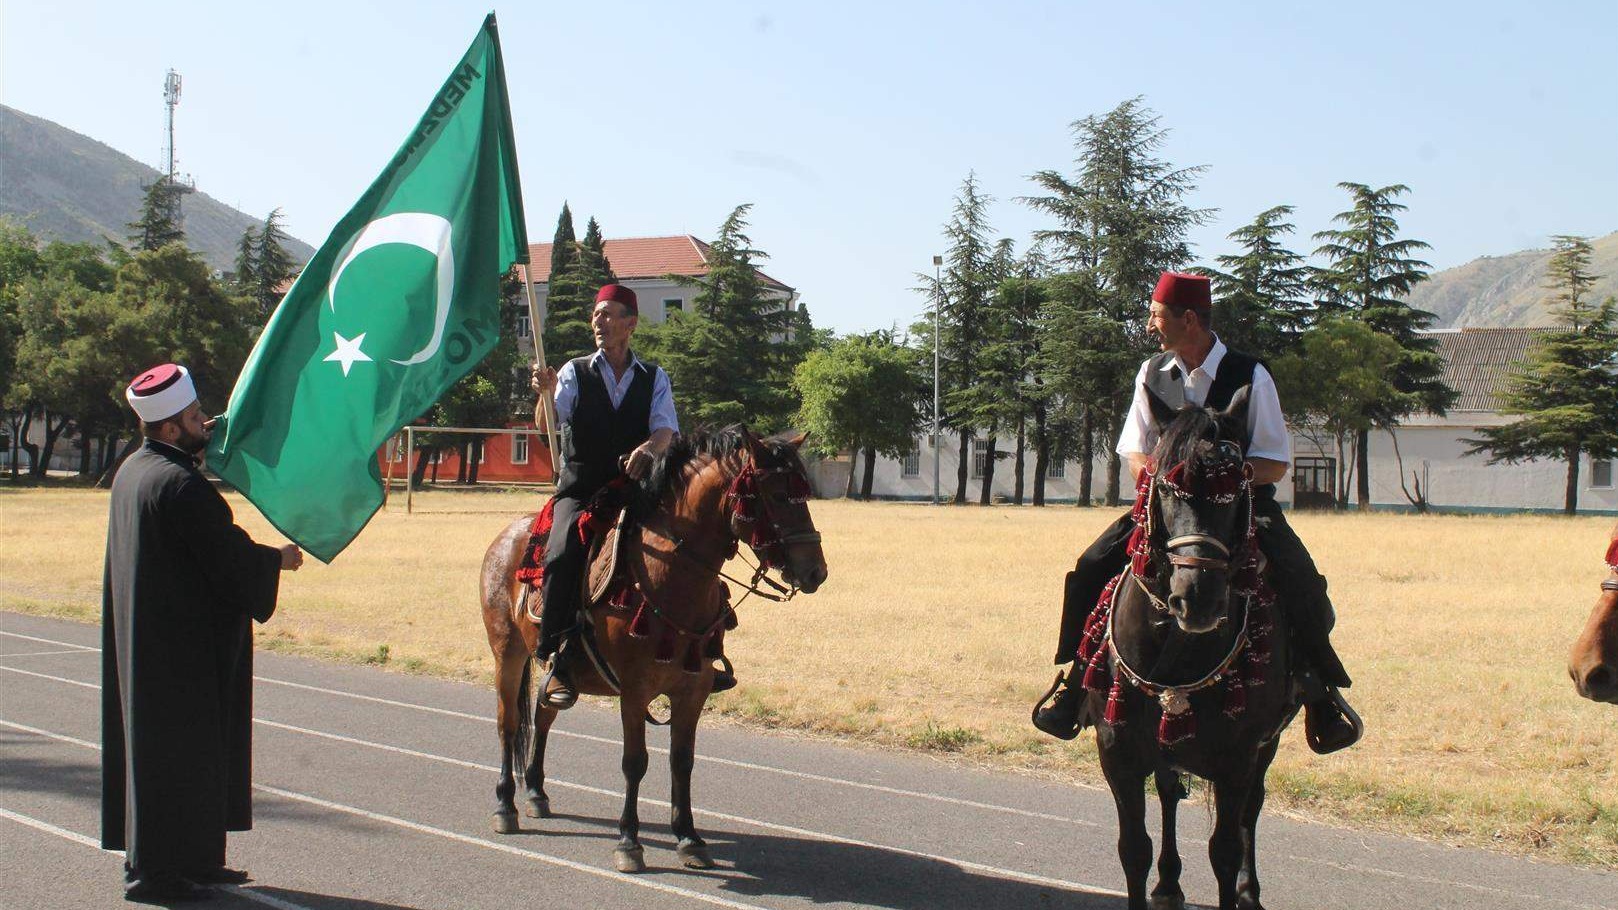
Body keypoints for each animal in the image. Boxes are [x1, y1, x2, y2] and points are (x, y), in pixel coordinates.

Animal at [1087, 390, 1300, 906]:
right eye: (1165, 488)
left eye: (1235, 492)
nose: (1198, 597)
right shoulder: (1117, 752)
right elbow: (1133, 849)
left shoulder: (1238, 757)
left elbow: (1224, 848)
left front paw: (1235, 884)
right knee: (1168, 795)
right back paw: (1168, 883)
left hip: (1266, 745)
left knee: (1251, 811)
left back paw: (1248, 889)